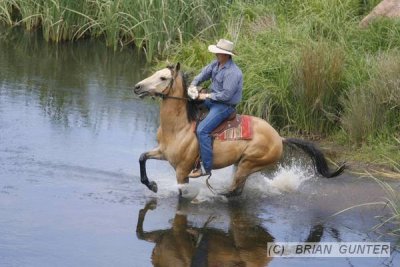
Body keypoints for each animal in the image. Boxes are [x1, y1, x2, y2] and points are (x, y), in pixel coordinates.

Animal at [134, 62, 344, 197]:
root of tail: (279, 138)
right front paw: (151, 185)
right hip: (241, 164)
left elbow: (180, 192)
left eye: (163, 77)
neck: (179, 128)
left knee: (234, 191)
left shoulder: (182, 171)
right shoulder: (162, 152)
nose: (137, 87)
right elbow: (142, 157)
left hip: (248, 164)